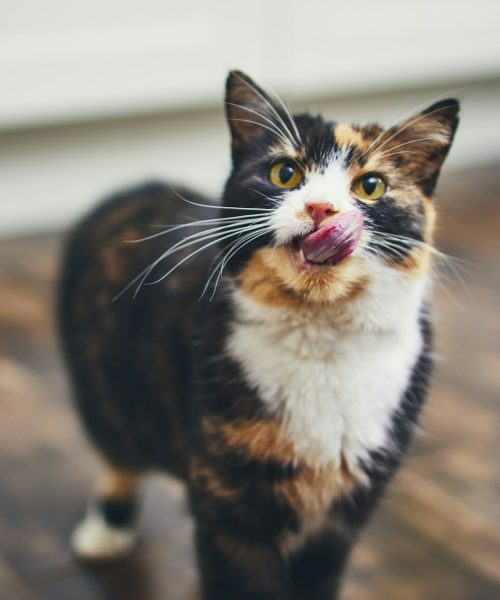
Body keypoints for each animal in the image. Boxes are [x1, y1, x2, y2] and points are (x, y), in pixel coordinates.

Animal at [56, 68, 458, 596]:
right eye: (284, 173)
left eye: (371, 186)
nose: (322, 209)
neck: (321, 338)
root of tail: (137, 189)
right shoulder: (228, 507)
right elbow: (241, 582)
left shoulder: (342, 515)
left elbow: (318, 580)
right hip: (102, 383)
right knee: (117, 448)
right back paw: (106, 529)